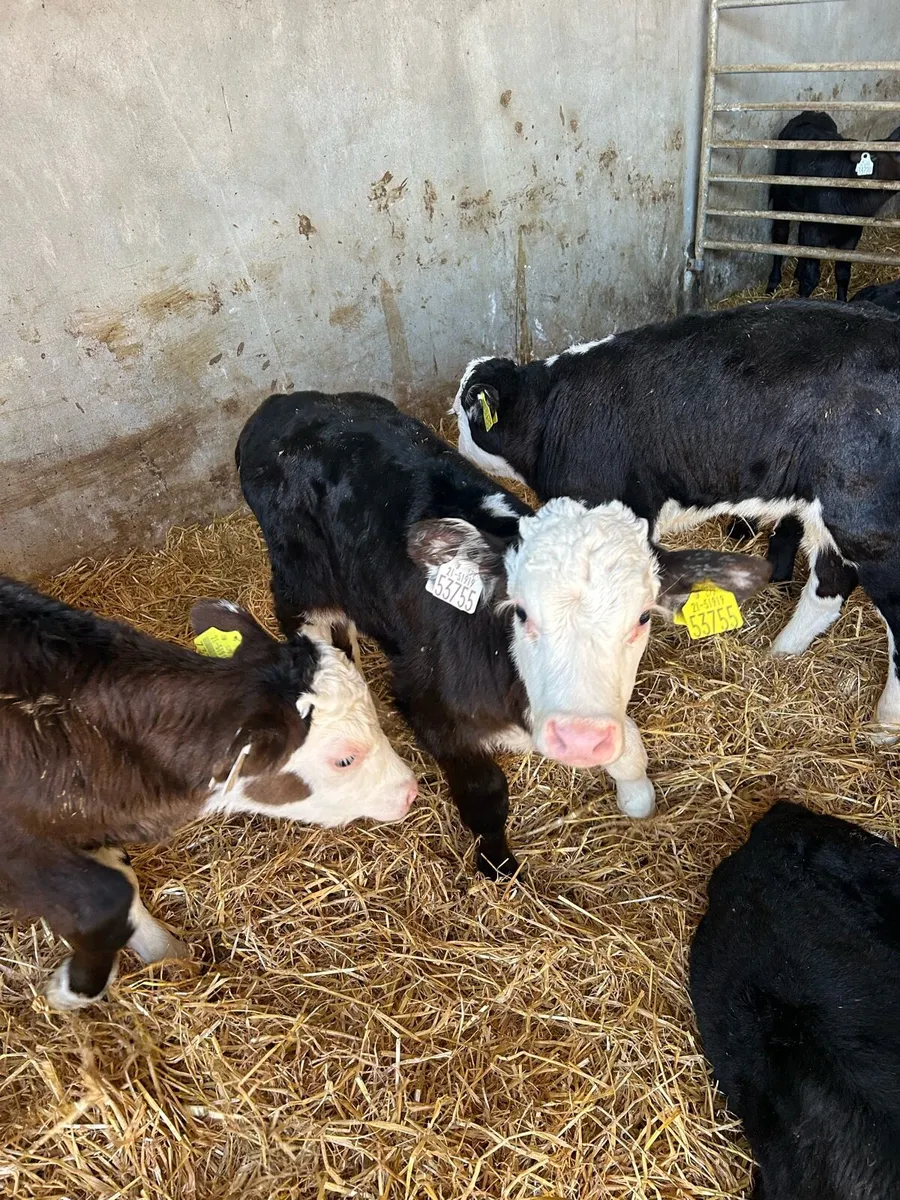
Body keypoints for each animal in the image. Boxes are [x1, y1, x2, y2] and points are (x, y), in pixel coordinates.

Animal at [0, 578, 417, 1011]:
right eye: (344, 760)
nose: (410, 790)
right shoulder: (18, 844)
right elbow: (106, 899)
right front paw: (71, 990)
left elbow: (122, 885)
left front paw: (167, 954)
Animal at [236, 390, 769, 879]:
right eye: (521, 612)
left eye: (642, 618)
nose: (578, 739)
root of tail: (284, 403)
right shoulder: (429, 708)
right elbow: (484, 794)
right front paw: (497, 864)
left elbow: (630, 751)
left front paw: (636, 799)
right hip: (300, 582)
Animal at [452, 300, 900, 739]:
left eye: (462, 413)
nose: (455, 442)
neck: (551, 415)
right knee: (828, 586)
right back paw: (779, 655)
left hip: (872, 530)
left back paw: (884, 726)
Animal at [765, 110, 900, 303]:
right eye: (897, 154)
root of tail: (811, 113)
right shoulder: (814, 230)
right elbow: (810, 278)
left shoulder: (852, 234)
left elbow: (843, 274)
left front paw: (842, 302)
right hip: (781, 196)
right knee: (780, 235)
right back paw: (773, 282)